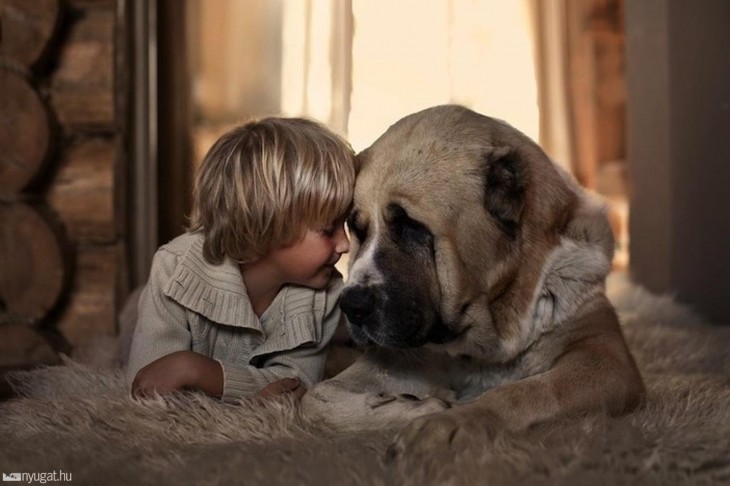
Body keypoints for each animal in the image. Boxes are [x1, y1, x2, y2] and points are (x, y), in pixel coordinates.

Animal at [298, 105, 640, 460]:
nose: (352, 305)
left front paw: (452, 420)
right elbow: (315, 400)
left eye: (411, 227)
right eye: (357, 230)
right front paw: (423, 406)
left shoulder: (605, 359)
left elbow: (529, 392)